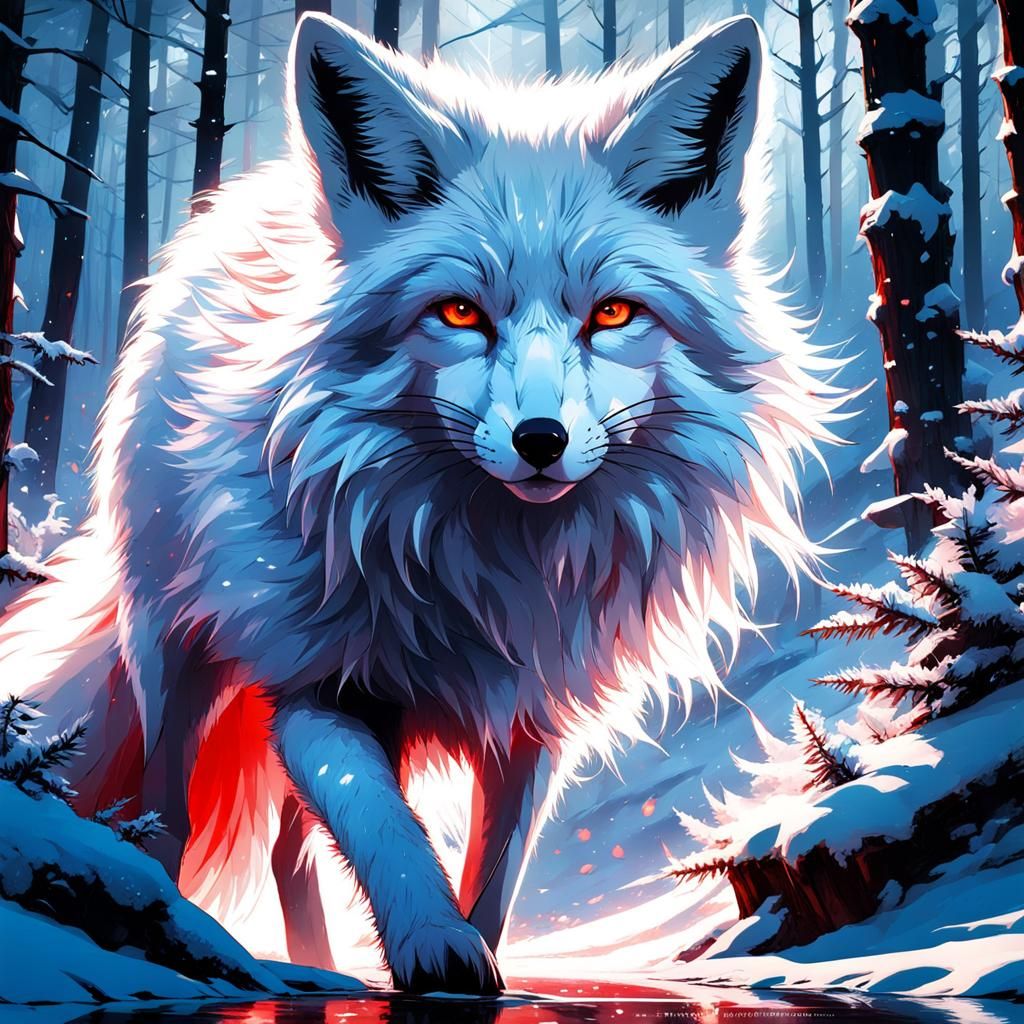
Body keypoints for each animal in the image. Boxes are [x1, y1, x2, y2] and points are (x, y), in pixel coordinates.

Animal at [0, 12, 843, 994]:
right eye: (459, 314)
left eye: (612, 314)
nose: (541, 440)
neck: (489, 570)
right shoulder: (314, 686)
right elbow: (385, 827)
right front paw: (434, 946)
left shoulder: (531, 721)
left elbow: (497, 874)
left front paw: (473, 947)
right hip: (177, 659)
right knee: (166, 816)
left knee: (286, 848)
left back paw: (316, 964)